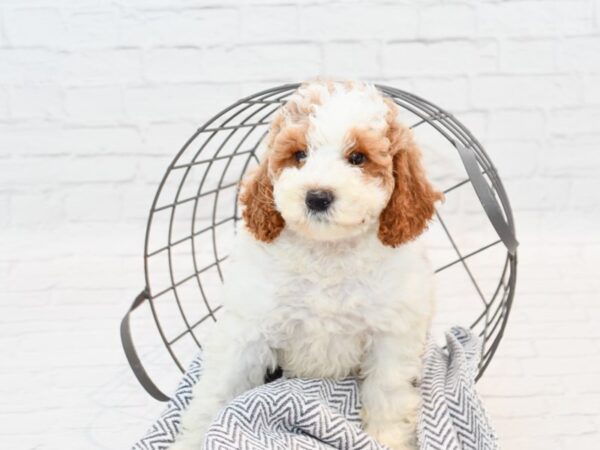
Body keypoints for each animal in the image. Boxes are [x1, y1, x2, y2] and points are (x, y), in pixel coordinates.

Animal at [169, 81, 440, 450]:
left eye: (358, 158)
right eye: (299, 155)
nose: (317, 197)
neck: (326, 251)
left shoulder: (392, 334)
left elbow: (388, 394)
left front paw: (387, 439)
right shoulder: (247, 328)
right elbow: (218, 388)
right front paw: (195, 439)